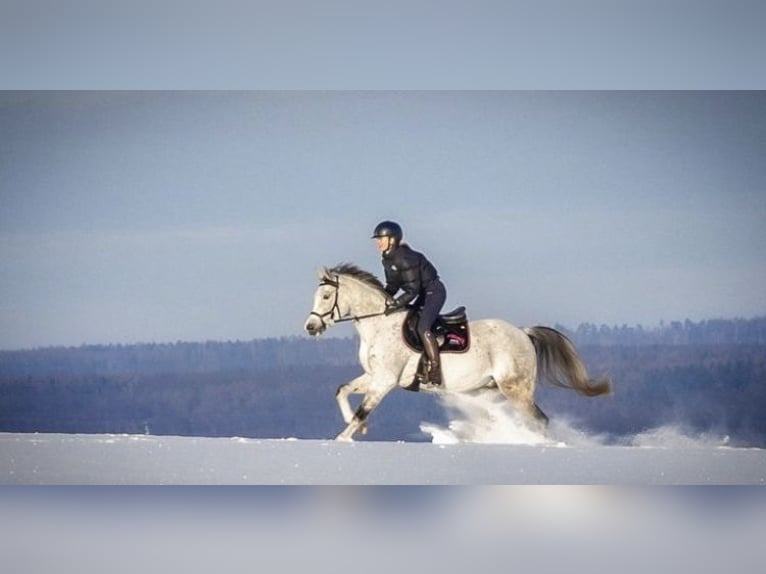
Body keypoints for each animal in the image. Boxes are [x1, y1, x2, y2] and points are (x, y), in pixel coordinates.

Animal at [306, 266, 612, 446]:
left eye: (325, 297)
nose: (310, 327)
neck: (379, 324)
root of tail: (524, 334)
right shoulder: (374, 376)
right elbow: (342, 390)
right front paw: (357, 429)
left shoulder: (385, 380)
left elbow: (363, 410)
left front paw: (344, 438)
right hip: (486, 390)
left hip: (516, 389)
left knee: (540, 420)